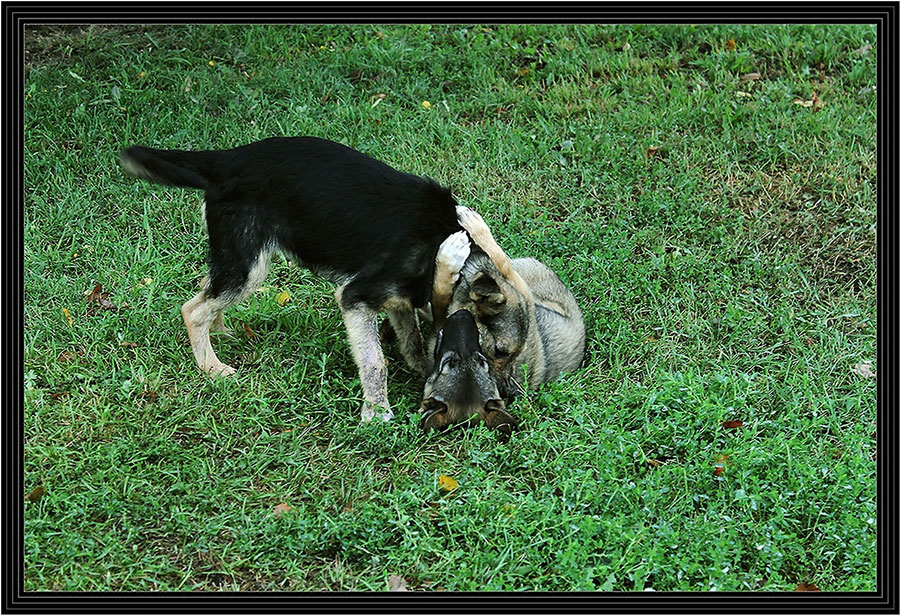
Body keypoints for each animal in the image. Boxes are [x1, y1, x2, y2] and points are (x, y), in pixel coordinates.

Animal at [118, 137, 464, 422]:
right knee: (193, 310)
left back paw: (220, 333)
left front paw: (417, 368)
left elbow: (411, 338)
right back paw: (211, 367)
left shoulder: (397, 299)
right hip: (249, 266)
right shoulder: (357, 296)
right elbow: (374, 361)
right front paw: (377, 413)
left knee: (208, 288)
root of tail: (227, 157)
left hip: (237, 257)